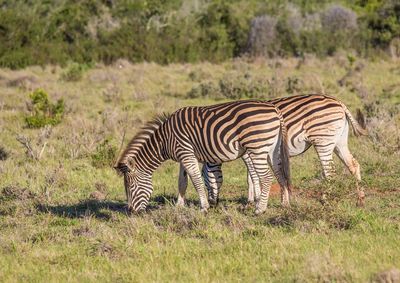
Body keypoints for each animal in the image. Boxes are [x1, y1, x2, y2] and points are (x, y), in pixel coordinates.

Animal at [115, 99, 290, 213]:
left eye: (131, 187)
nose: (131, 212)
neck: (165, 140)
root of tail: (275, 109)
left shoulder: (186, 153)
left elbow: (196, 180)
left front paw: (204, 207)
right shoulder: (183, 157)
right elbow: (182, 182)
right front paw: (179, 206)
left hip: (257, 147)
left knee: (267, 177)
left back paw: (260, 209)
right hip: (273, 149)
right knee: (280, 173)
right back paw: (285, 204)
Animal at [199, 95, 366, 206]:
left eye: (204, 179)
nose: (212, 203)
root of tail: (339, 103)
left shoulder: (248, 152)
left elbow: (252, 176)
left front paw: (254, 199)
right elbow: (251, 176)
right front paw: (253, 199)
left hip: (322, 140)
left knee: (330, 171)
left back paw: (325, 199)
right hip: (339, 141)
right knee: (353, 165)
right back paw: (360, 198)